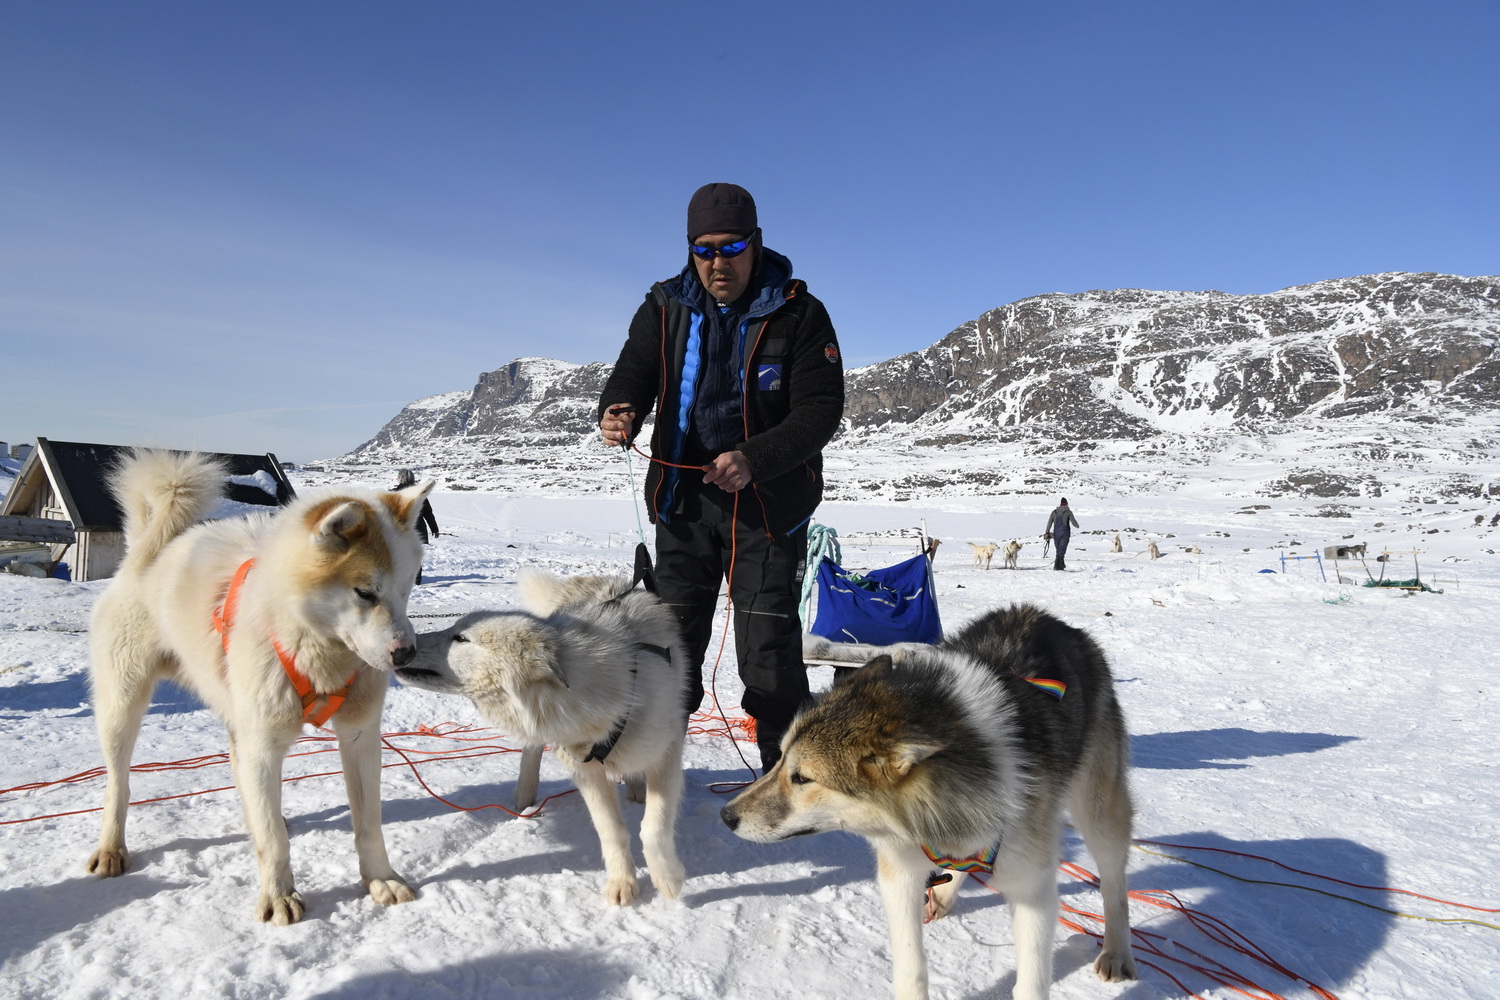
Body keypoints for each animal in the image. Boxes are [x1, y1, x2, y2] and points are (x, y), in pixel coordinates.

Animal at [90, 449, 435, 929]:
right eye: (365, 592)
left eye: (406, 589)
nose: (405, 654)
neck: (315, 648)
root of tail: (150, 548)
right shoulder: (265, 745)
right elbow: (273, 840)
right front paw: (279, 894)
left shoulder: (360, 736)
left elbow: (368, 824)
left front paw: (380, 878)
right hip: (123, 707)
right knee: (118, 785)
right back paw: (111, 847)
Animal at [393, 569, 687, 905]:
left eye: (461, 638)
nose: (404, 645)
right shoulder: (586, 772)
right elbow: (612, 830)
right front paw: (622, 881)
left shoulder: (668, 753)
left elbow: (654, 826)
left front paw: (667, 878)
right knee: (531, 750)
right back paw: (525, 793)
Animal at [720, 602, 1128, 1000]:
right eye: (780, 759)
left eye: (803, 777)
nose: (726, 815)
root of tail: (1050, 619)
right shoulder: (900, 874)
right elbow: (911, 967)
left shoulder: (1033, 889)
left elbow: (1031, 981)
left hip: (1098, 811)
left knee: (1114, 882)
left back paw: (1117, 952)